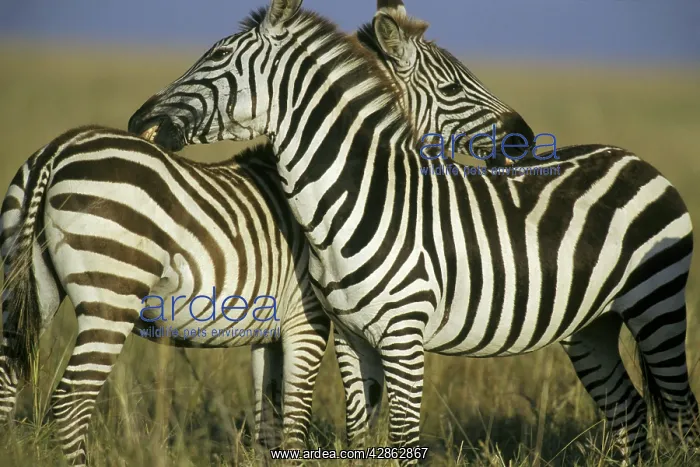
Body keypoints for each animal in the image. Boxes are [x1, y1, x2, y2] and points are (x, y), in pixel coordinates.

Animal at [0, 5, 532, 467]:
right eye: (454, 85)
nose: (523, 136)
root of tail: (57, 149)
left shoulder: (267, 333)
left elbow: (267, 424)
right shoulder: (311, 321)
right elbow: (296, 424)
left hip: (30, 290)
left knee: (8, 382)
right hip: (111, 296)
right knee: (71, 402)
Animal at [127, 0, 700, 465]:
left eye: (216, 59)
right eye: (451, 87)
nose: (136, 121)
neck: (356, 203)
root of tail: (631, 156)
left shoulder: (402, 337)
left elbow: (401, 437)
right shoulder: (351, 339)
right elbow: (360, 436)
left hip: (656, 306)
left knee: (681, 409)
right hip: (591, 325)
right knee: (629, 412)